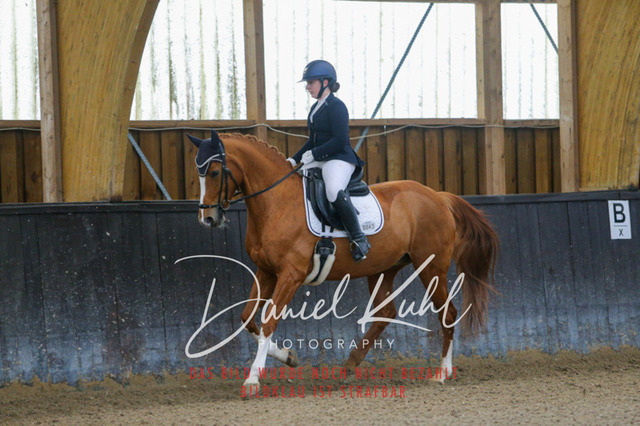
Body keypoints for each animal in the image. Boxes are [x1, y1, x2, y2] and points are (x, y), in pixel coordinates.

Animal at [187, 130, 499, 391]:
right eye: (198, 173)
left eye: (214, 172)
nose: (207, 218)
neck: (276, 202)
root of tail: (438, 196)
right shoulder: (266, 271)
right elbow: (247, 318)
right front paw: (288, 356)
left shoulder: (291, 275)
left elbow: (269, 320)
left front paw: (253, 378)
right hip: (383, 269)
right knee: (386, 312)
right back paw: (349, 365)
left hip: (431, 267)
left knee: (448, 314)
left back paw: (442, 372)